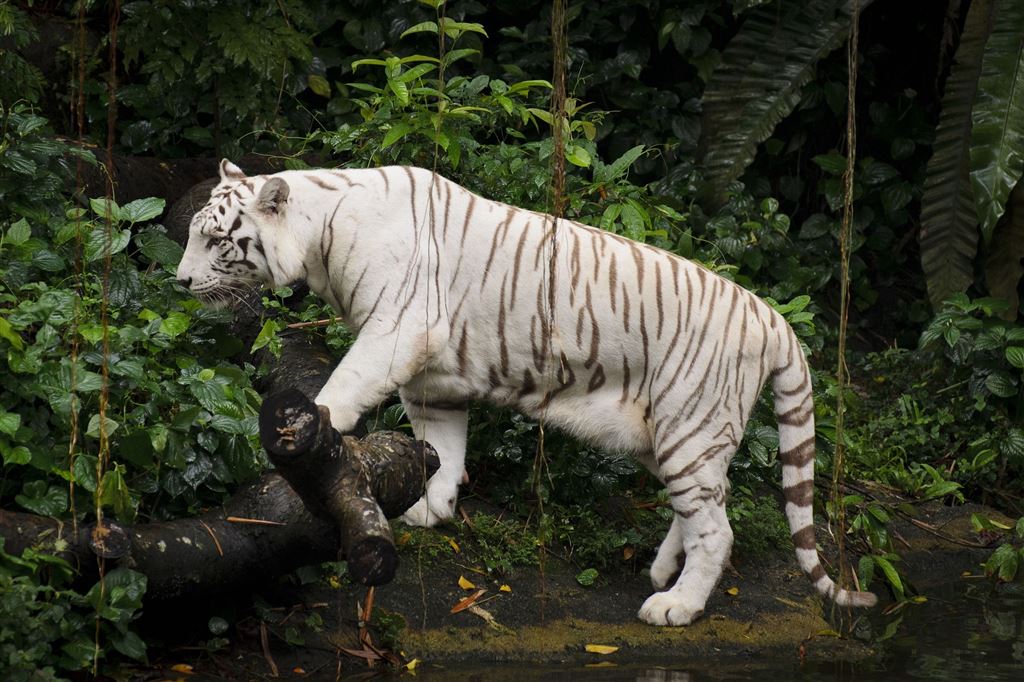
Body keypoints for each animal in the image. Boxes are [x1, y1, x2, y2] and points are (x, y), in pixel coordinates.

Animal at [178, 159, 880, 622]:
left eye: (215, 239)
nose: (179, 281)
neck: (321, 236)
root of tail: (774, 318)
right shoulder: (434, 377)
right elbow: (442, 447)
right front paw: (431, 508)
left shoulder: (397, 330)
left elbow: (345, 384)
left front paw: (315, 425)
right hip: (672, 437)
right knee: (712, 504)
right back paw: (661, 570)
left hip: (690, 428)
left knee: (718, 531)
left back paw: (674, 605)